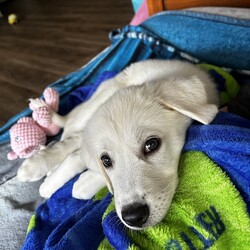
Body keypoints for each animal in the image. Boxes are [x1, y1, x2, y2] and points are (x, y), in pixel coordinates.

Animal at [17, 59, 219, 229]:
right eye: (106, 160)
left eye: (151, 145)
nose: (133, 217)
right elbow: (78, 152)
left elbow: (82, 160)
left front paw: (83, 183)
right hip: (92, 107)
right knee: (69, 127)